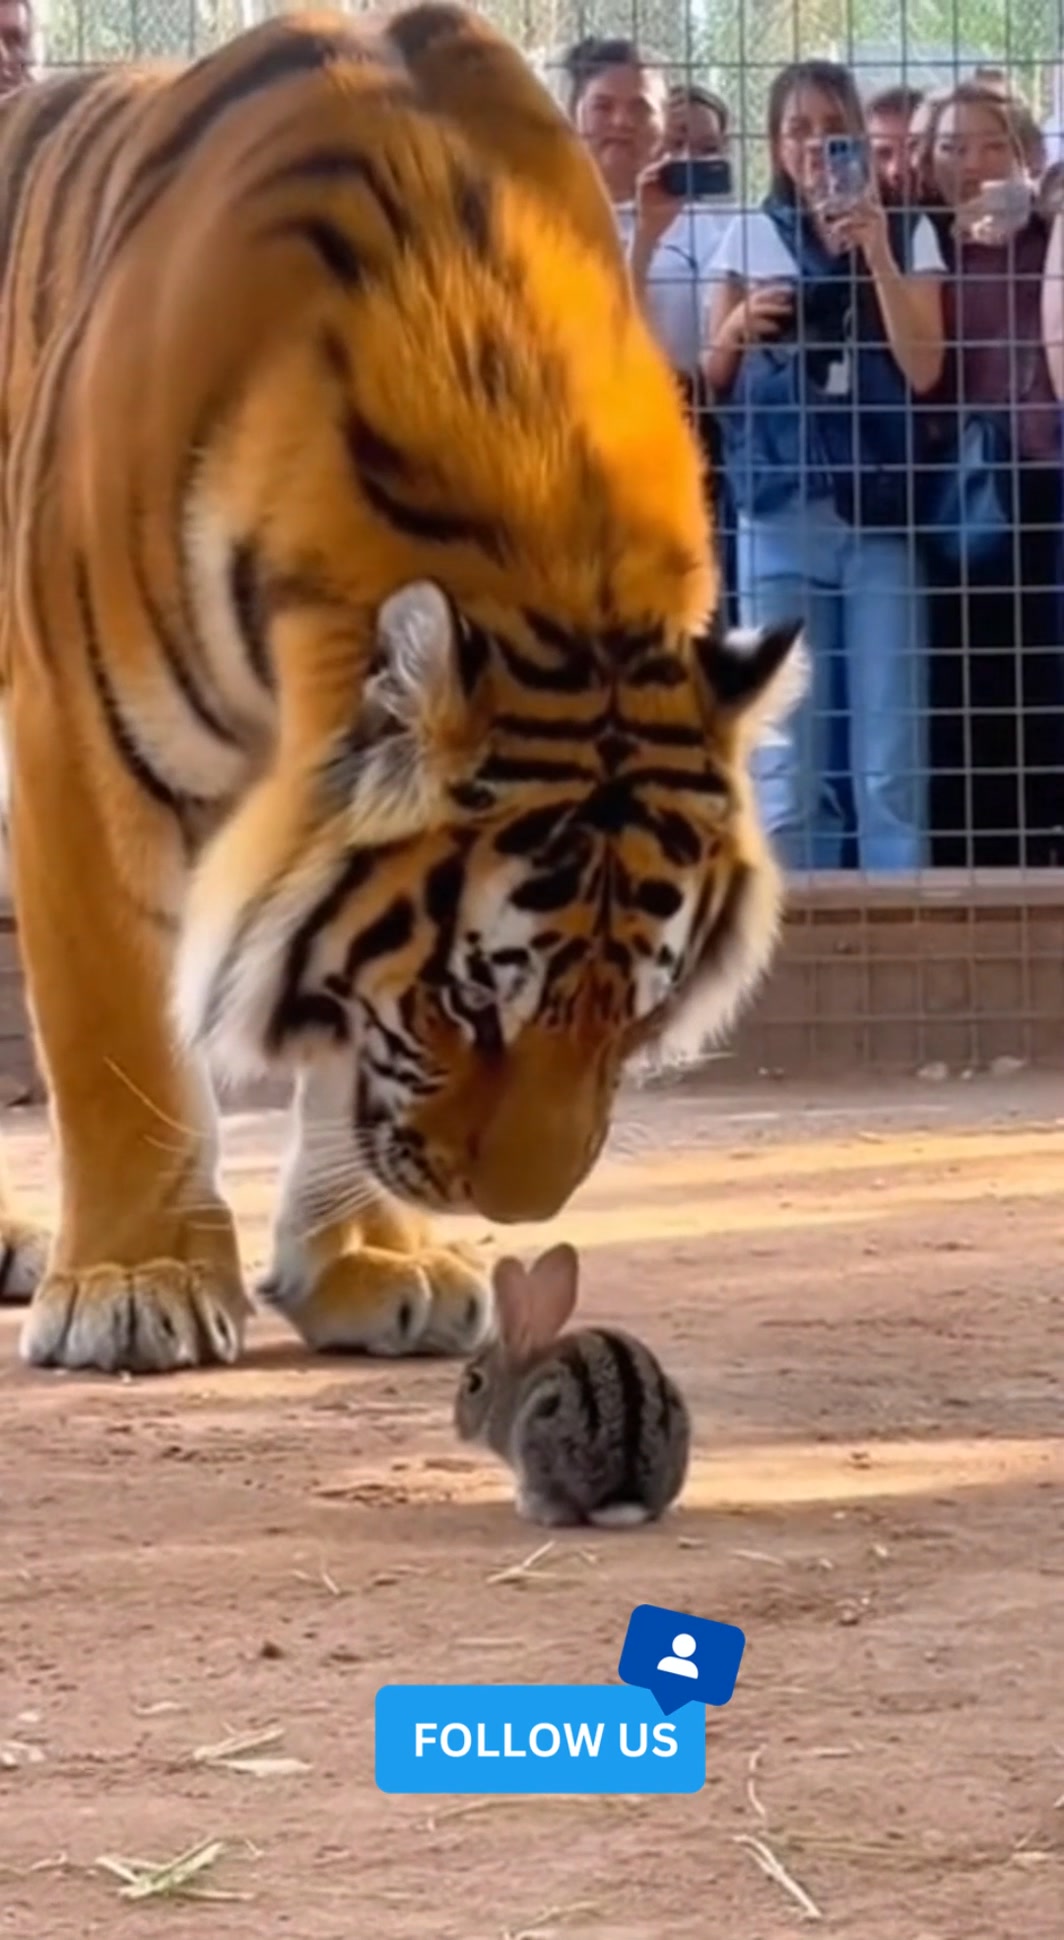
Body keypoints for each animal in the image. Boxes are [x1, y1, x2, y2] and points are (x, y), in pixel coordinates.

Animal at [0, 4, 804, 1377]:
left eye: (638, 1011)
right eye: (471, 1000)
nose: (521, 1209)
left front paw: (369, 1264)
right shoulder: (83, 744)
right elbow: (117, 1038)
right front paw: (134, 1282)